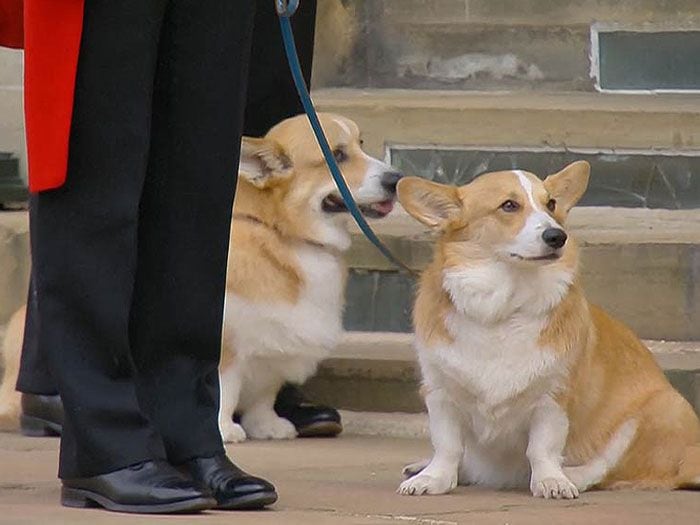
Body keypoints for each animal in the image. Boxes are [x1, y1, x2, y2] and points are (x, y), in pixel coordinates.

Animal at [221, 113, 402, 442]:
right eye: (337, 155)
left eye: (360, 143)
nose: (396, 179)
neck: (281, 231)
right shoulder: (228, 340)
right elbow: (225, 387)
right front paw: (225, 428)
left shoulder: (276, 341)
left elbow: (264, 395)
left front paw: (267, 425)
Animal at [396, 162, 700, 498]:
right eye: (509, 205)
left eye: (551, 204)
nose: (558, 236)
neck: (503, 308)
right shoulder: (440, 392)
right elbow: (447, 445)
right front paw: (433, 478)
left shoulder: (552, 398)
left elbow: (543, 448)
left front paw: (550, 480)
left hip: (659, 409)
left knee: (608, 467)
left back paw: (573, 476)